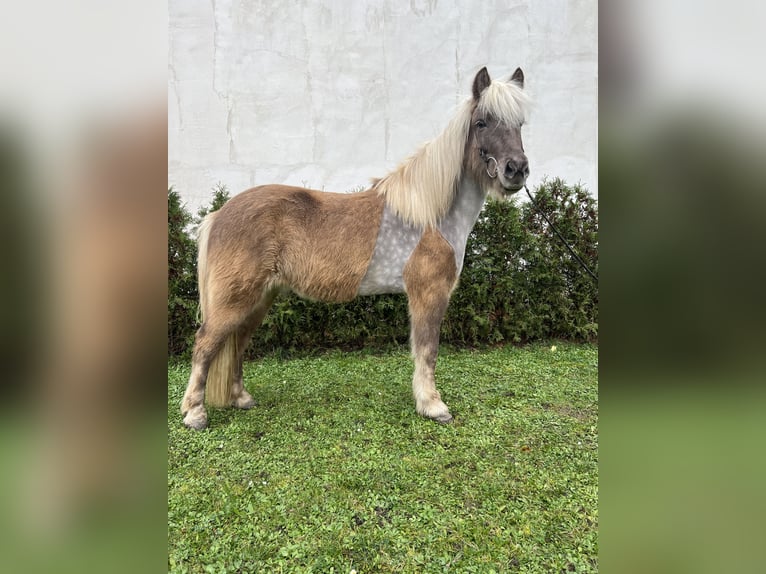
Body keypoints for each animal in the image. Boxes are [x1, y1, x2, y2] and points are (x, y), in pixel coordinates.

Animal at [182, 66, 532, 432]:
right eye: (482, 122)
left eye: (520, 123)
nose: (516, 169)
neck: (430, 214)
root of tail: (219, 214)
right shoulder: (428, 294)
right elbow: (428, 349)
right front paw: (433, 405)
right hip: (235, 300)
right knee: (205, 343)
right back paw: (195, 413)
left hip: (259, 299)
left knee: (236, 343)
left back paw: (241, 399)